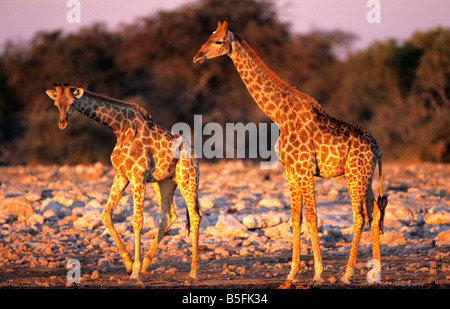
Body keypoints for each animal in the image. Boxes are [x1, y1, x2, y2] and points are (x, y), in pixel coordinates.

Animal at [45, 83, 200, 280]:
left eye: (72, 102)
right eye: (56, 104)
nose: (62, 123)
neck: (121, 129)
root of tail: (193, 151)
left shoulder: (137, 176)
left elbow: (137, 221)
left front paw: (134, 271)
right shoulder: (121, 175)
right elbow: (106, 214)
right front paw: (129, 264)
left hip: (187, 178)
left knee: (195, 216)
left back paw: (193, 271)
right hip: (164, 182)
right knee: (169, 215)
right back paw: (146, 265)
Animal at [193, 19, 386, 284]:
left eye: (219, 40)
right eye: (208, 37)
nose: (197, 57)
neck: (280, 115)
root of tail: (377, 148)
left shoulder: (304, 169)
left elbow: (313, 218)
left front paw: (318, 273)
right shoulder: (291, 172)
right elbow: (296, 218)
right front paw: (292, 274)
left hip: (355, 175)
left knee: (359, 216)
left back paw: (347, 273)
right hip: (364, 176)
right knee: (374, 212)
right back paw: (375, 273)